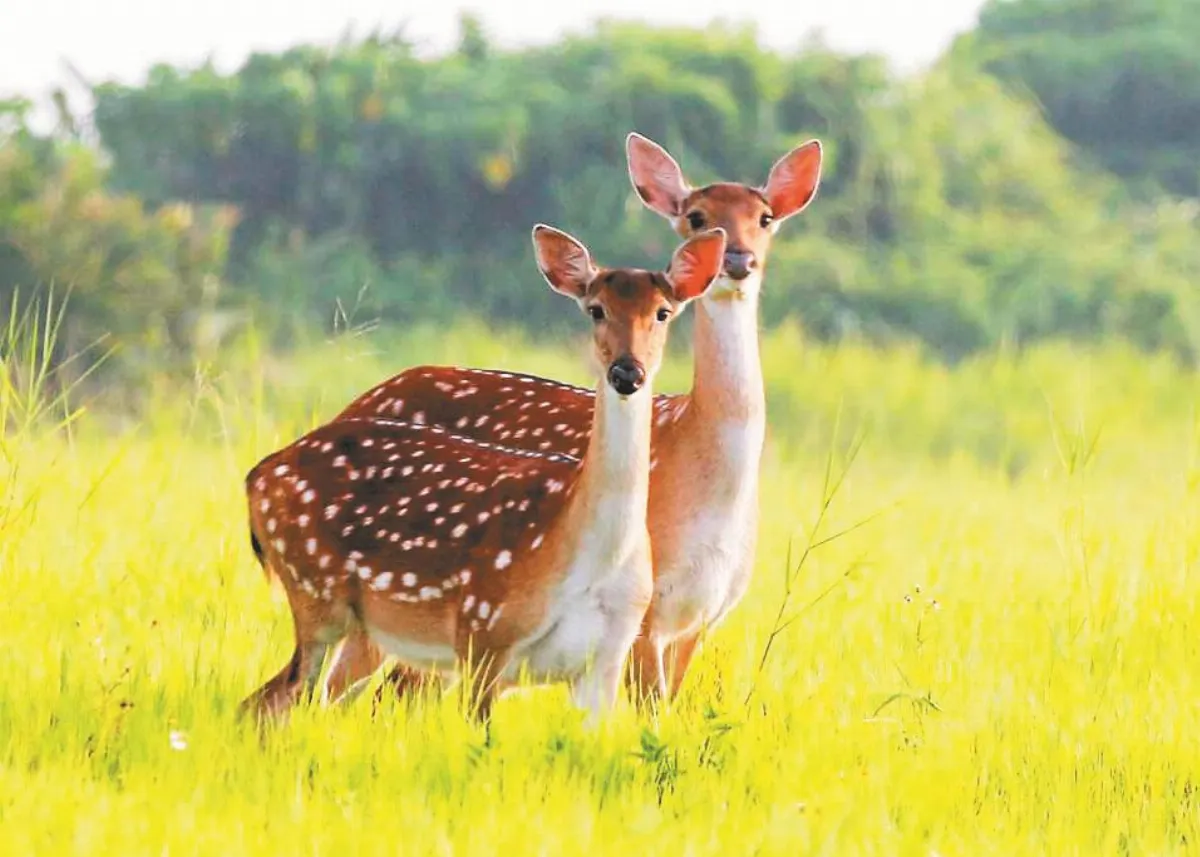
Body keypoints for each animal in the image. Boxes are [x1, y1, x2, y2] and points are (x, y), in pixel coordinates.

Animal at [239, 224, 728, 723]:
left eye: (663, 313)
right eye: (596, 309)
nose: (627, 372)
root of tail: (257, 475)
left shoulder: (608, 657)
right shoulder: (484, 631)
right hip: (315, 591)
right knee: (273, 700)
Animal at [318, 131, 823, 708]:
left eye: (765, 217)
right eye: (696, 216)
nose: (737, 259)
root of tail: (354, 404)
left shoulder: (701, 616)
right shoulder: (645, 610)